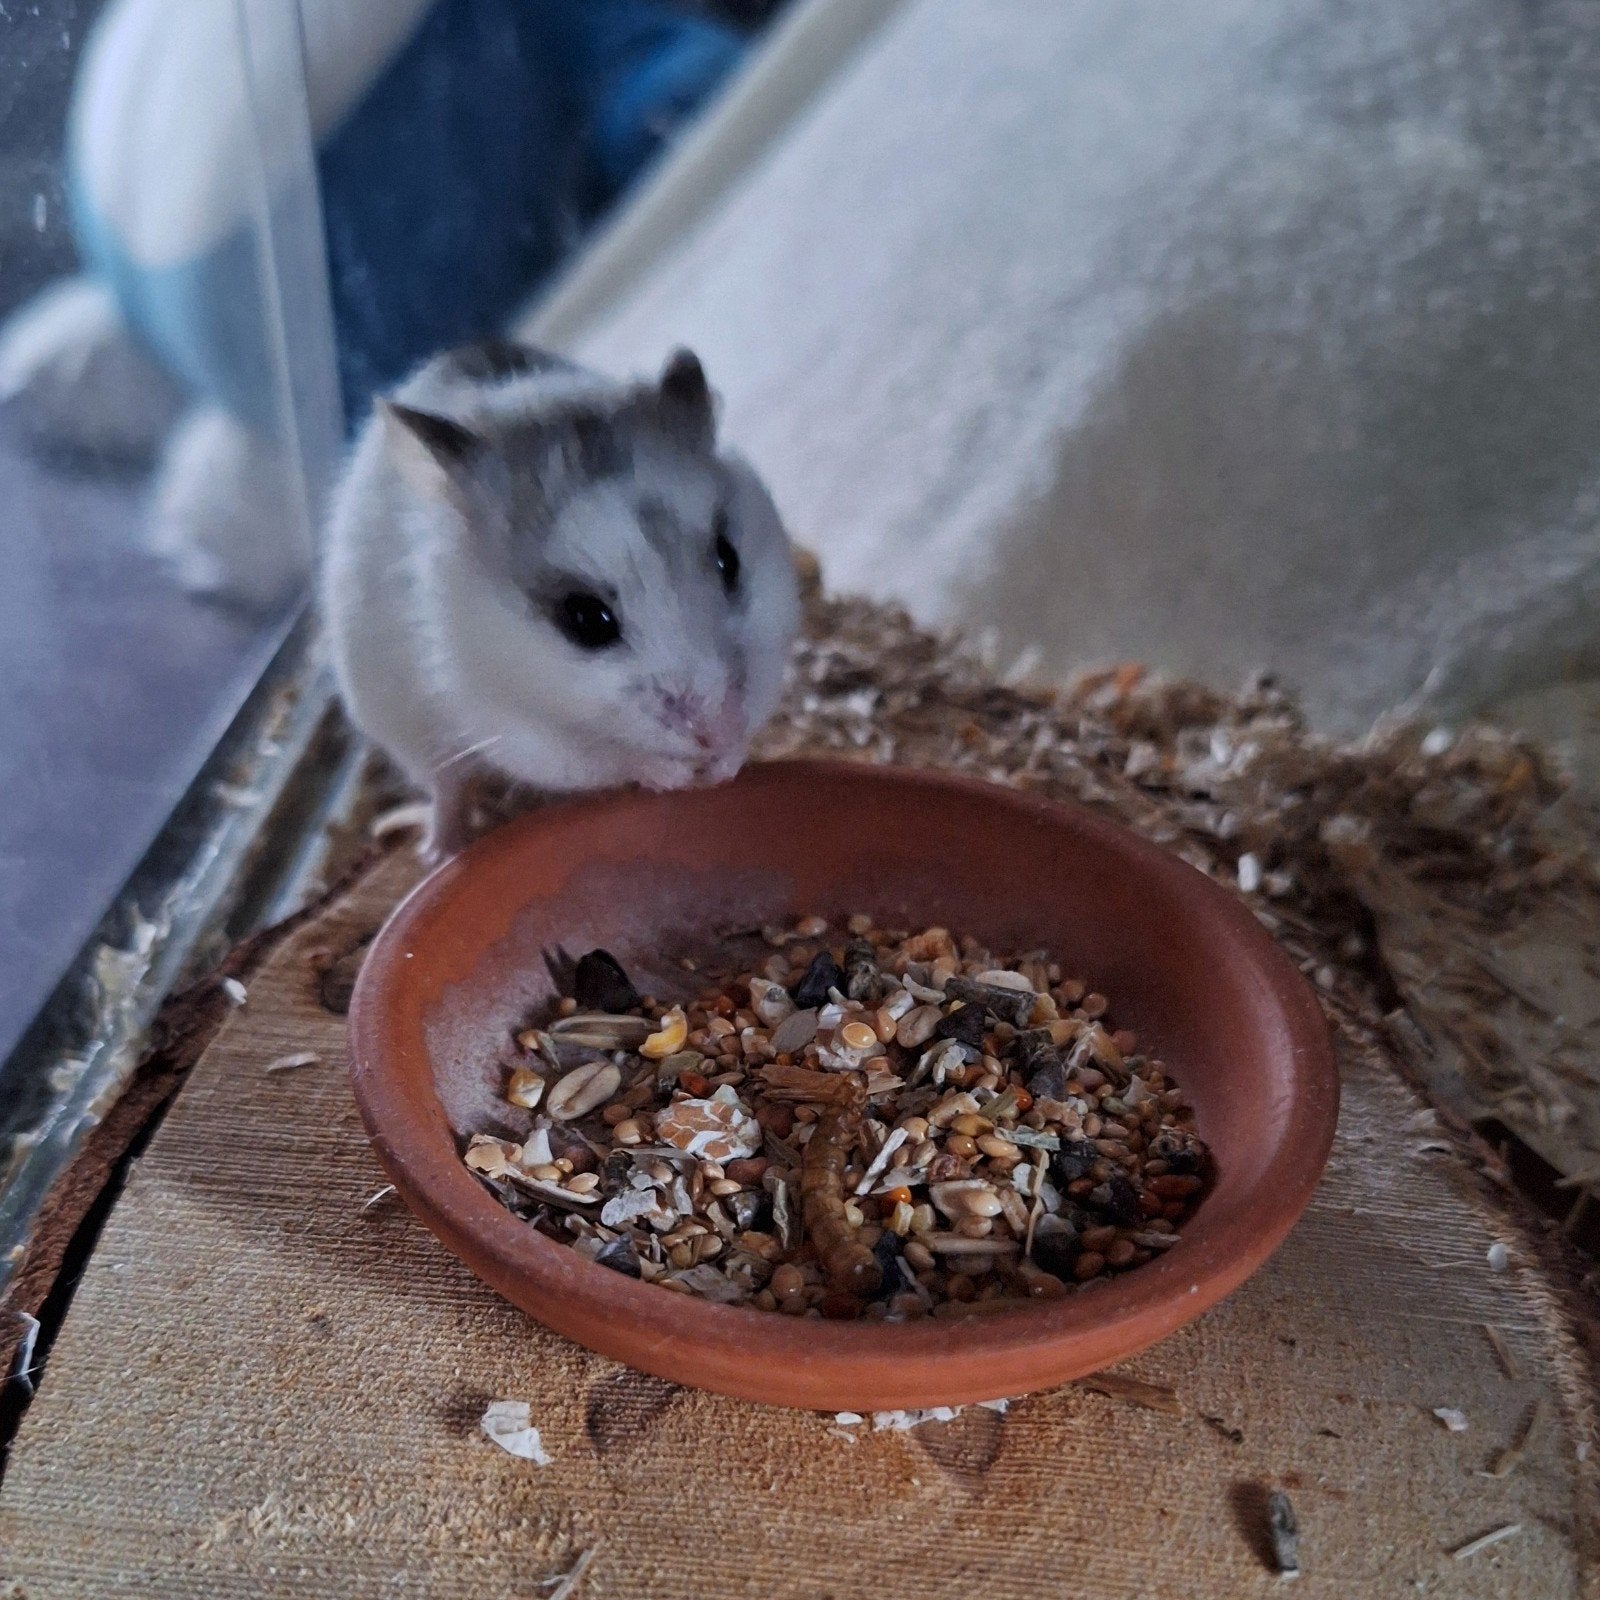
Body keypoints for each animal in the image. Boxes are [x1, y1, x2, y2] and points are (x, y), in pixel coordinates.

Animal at [320, 340, 800, 858]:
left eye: (728, 560)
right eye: (585, 619)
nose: (718, 731)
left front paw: (724, 766)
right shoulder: (523, 732)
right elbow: (615, 758)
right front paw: (675, 775)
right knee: (445, 789)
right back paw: (437, 849)